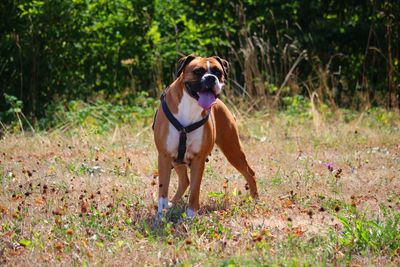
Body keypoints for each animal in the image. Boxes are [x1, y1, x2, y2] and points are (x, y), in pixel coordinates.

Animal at [152, 55, 258, 219]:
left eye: (218, 72)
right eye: (198, 71)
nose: (210, 78)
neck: (190, 105)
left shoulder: (198, 159)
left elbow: (195, 189)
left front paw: (191, 215)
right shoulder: (164, 156)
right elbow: (163, 189)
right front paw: (161, 215)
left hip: (233, 151)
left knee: (249, 173)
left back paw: (255, 200)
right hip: (176, 160)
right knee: (184, 181)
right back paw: (171, 204)